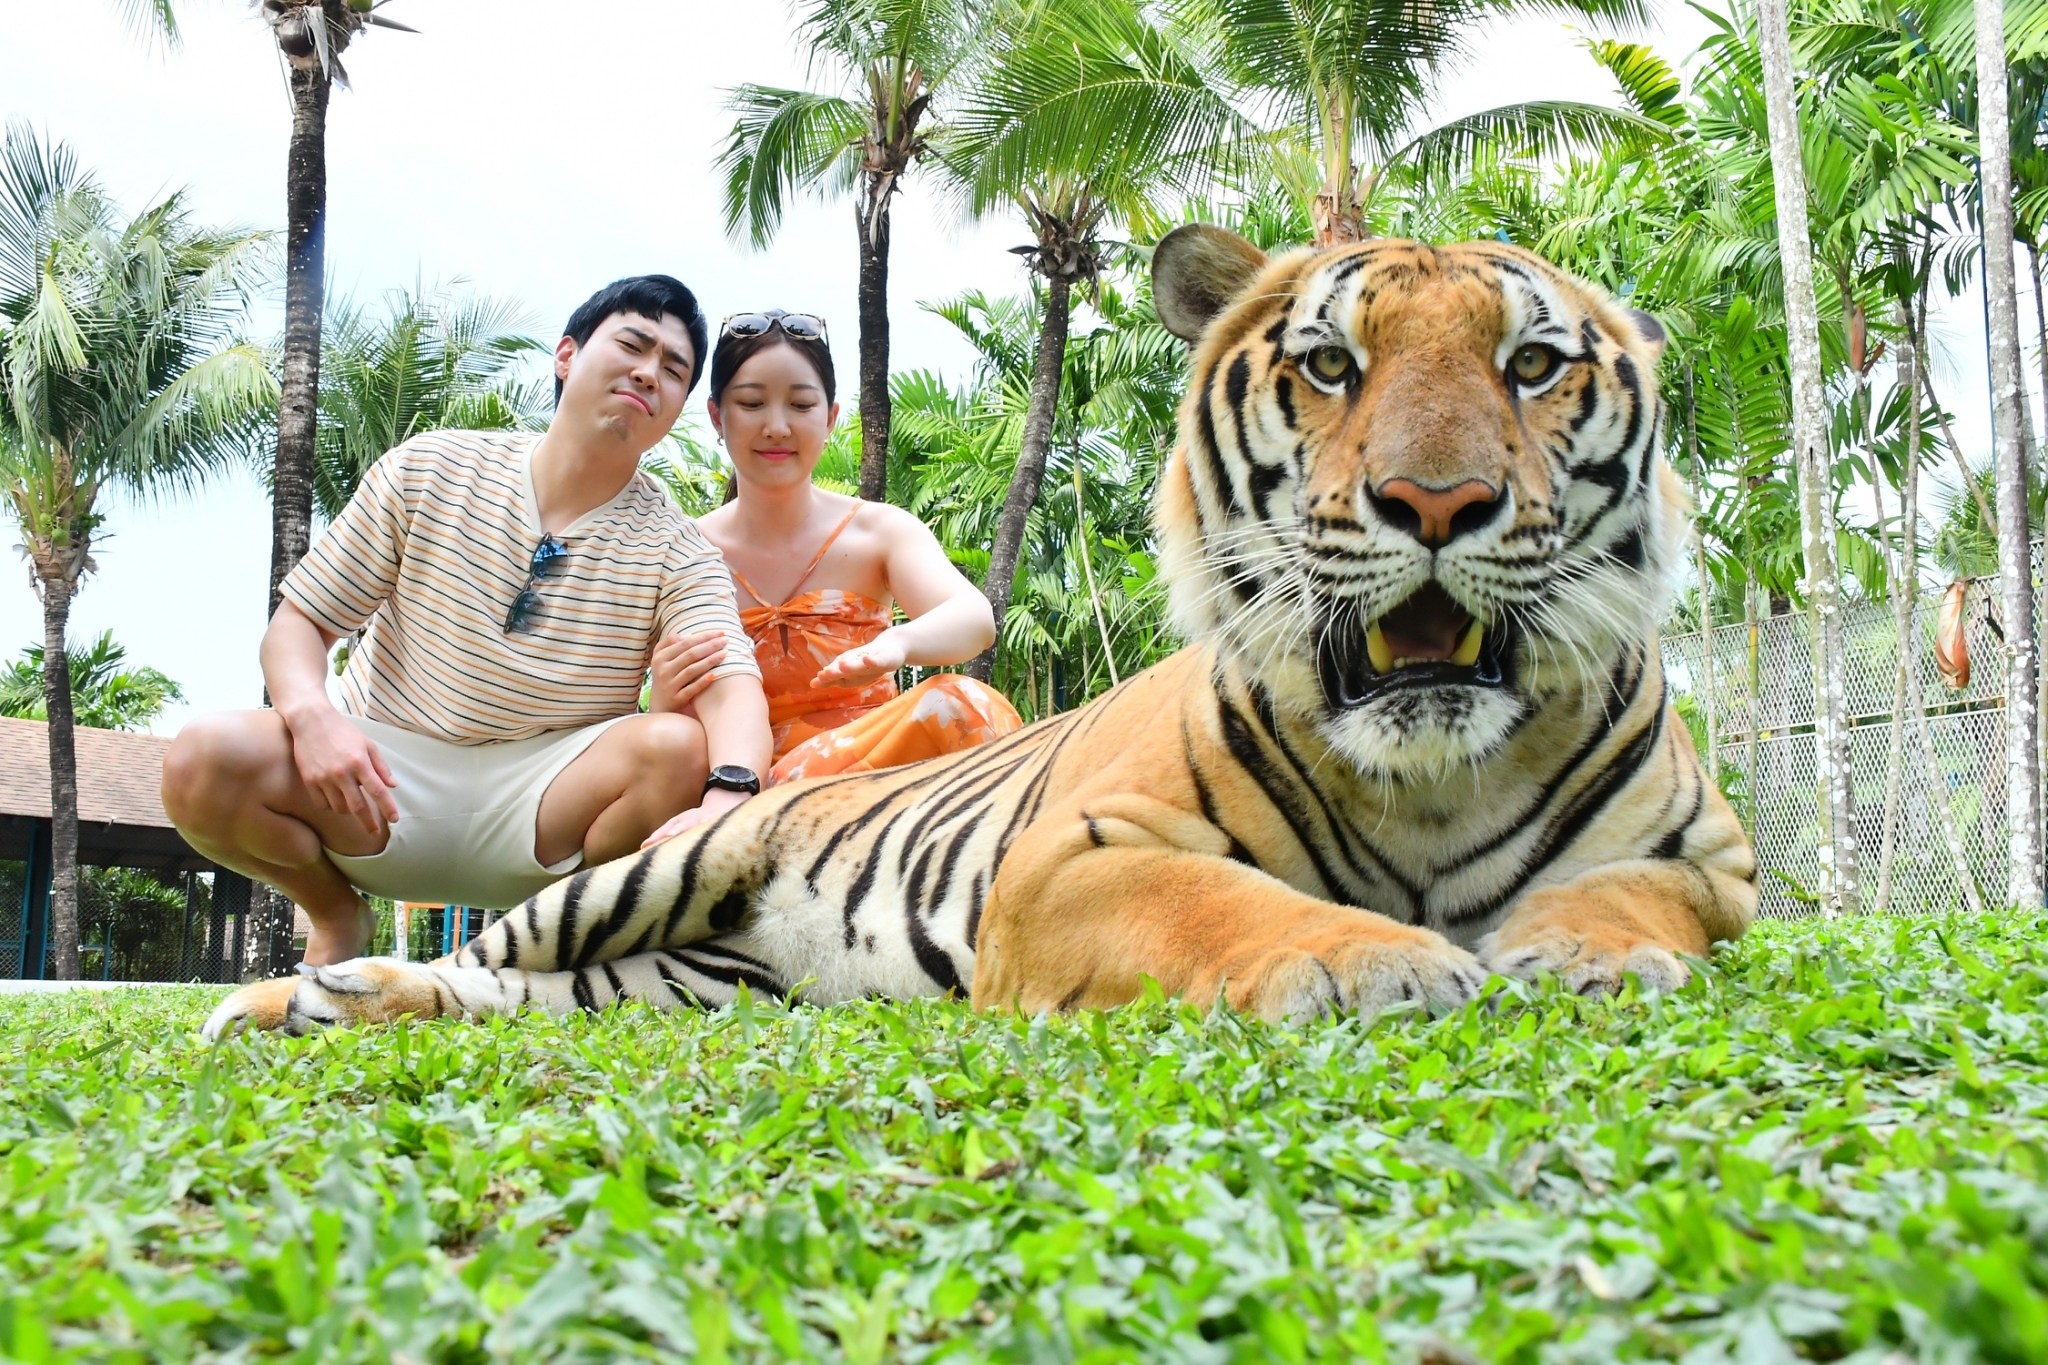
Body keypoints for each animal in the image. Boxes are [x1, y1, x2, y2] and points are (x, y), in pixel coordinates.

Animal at [203, 224, 1756, 1041]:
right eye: (1329, 365)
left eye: (1532, 364)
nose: (1438, 502)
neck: (1431, 769)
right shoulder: (1072, 864)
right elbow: (1229, 904)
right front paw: (1378, 958)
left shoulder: (1714, 865)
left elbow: (1639, 896)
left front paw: (1585, 952)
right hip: (647, 874)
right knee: (479, 957)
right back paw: (290, 997)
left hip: (684, 980)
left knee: (519, 998)